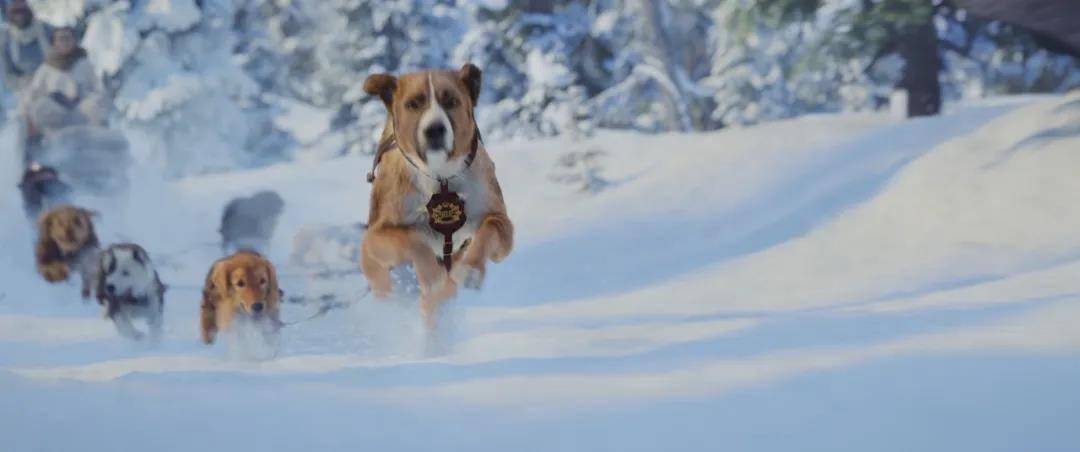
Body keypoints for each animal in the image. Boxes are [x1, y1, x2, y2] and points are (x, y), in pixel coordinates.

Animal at [362, 63, 514, 327]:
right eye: (413, 103)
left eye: (451, 101)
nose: (434, 129)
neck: (440, 176)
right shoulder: (377, 236)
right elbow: (414, 238)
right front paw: (431, 275)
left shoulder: (501, 224)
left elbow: (490, 228)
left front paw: (472, 270)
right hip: (373, 263)